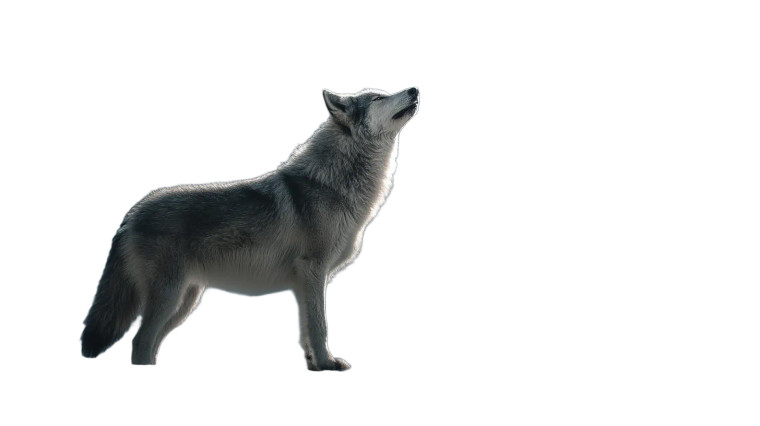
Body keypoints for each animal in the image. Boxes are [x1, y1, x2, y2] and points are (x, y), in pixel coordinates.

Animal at [81, 87, 419, 370]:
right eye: (378, 98)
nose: (414, 89)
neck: (332, 183)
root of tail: (132, 212)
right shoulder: (313, 270)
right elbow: (320, 326)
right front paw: (327, 364)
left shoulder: (306, 281)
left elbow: (307, 330)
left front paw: (314, 364)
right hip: (170, 297)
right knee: (140, 342)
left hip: (184, 301)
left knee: (148, 345)